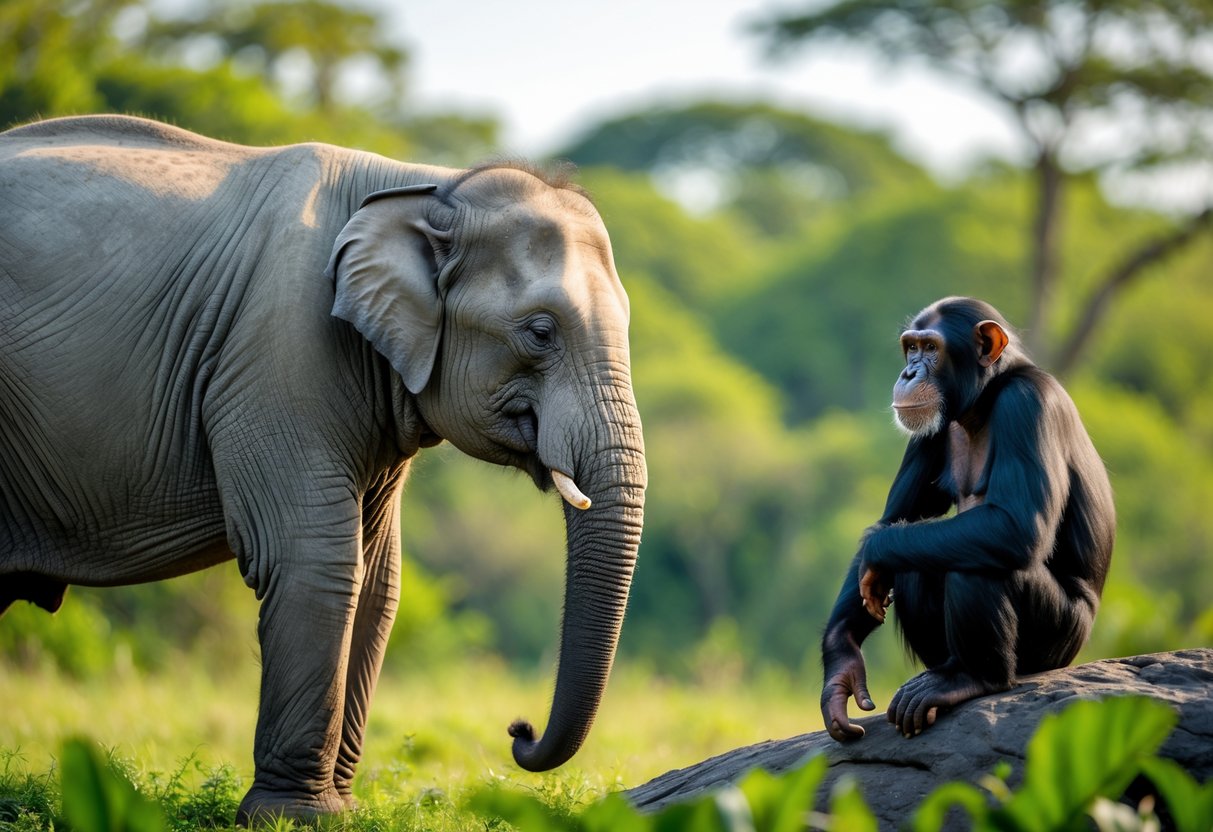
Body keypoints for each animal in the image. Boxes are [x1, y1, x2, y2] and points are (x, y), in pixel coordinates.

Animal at [0, 115, 646, 822]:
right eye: (540, 332)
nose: (518, 731)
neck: (431, 188)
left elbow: (377, 580)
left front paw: (339, 811)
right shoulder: (278, 353)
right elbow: (316, 560)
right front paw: (296, 818)